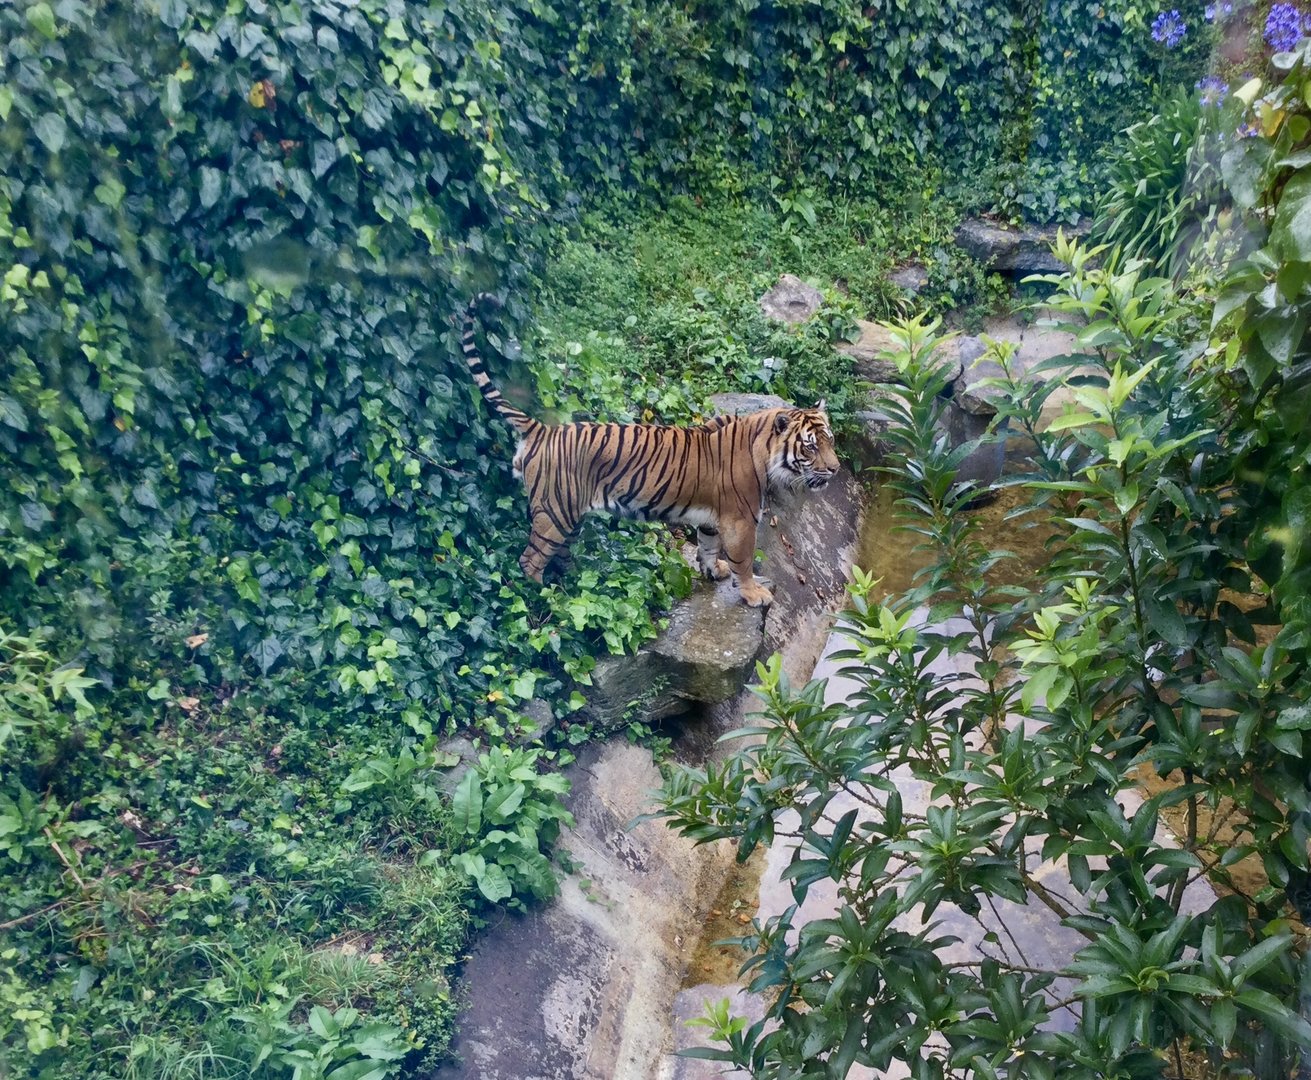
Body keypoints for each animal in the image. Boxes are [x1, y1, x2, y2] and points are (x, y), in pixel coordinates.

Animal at [460, 293, 839, 607]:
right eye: (810, 445)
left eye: (831, 440)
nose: (836, 469)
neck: (763, 451)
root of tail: (542, 429)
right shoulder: (740, 521)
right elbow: (743, 561)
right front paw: (753, 593)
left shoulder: (713, 520)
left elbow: (707, 546)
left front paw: (713, 570)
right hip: (555, 512)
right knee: (530, 561)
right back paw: (546, 599)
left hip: (569, 514)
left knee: (559, 556)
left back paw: (573, 586)